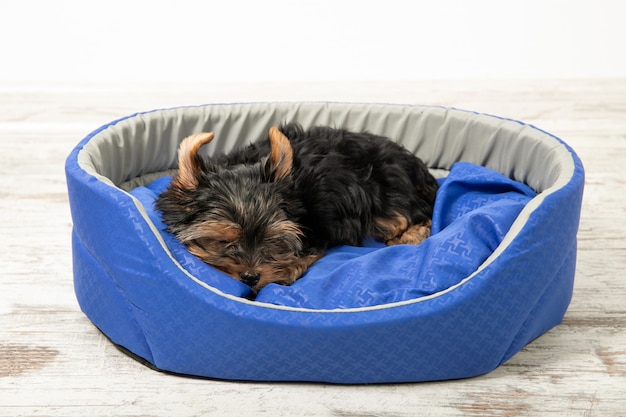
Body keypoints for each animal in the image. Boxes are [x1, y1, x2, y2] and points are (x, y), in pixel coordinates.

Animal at [155, 122, 436, 292]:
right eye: (223, 241)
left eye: (272, 240)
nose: (250, 277)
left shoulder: (317, 231)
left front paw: (287, 269)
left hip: (387, 195)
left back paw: (409, 236)